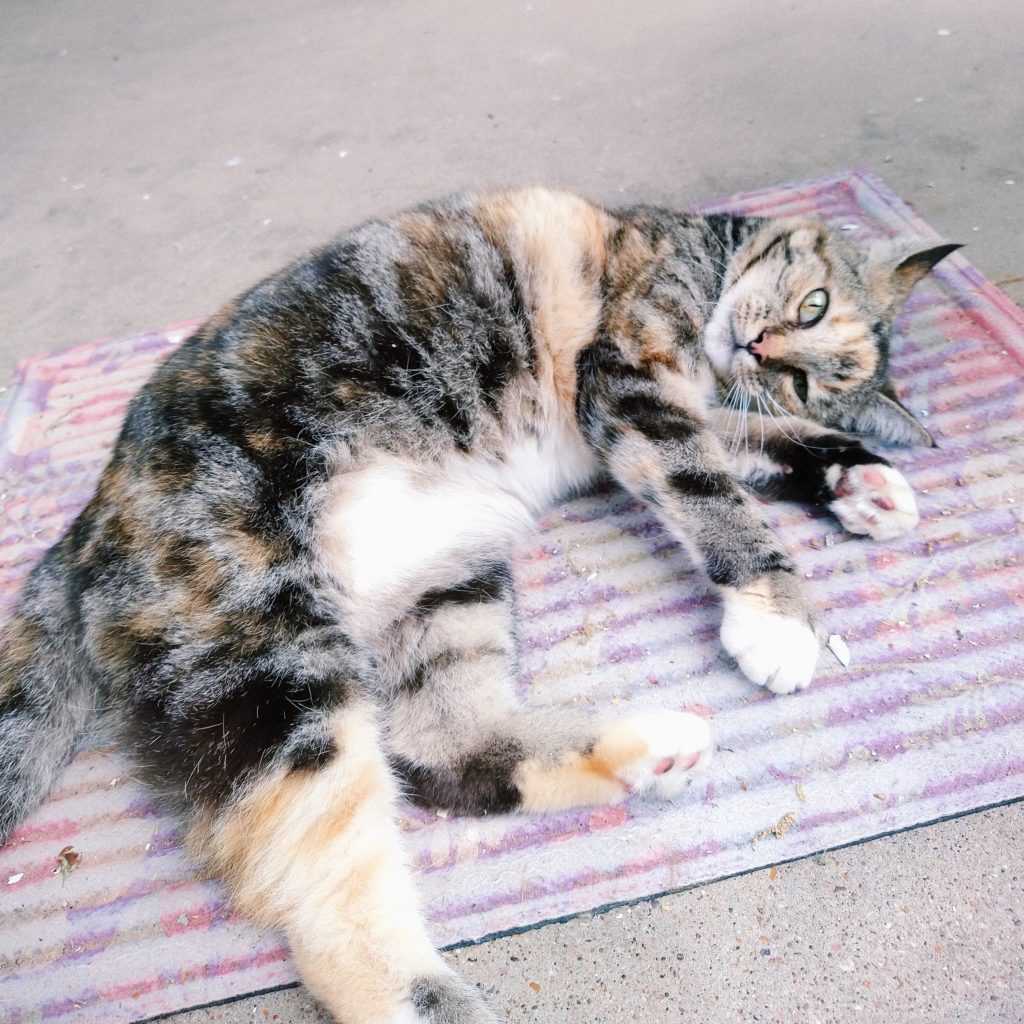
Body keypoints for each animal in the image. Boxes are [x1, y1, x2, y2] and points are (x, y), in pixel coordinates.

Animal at [0, 188, 958, 1019]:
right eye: (813, 306)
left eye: (806, 377)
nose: (759, 350)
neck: (696, 253)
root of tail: (90, 525)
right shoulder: (634, 380)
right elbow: (710, 486)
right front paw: (780, 619)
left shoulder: (686, 409)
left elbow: (761, 443)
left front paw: (863, 480)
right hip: (273, 660)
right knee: (328, 896)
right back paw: (429, 999)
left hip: (444, 586)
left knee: (445, 748)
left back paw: (646, 754)